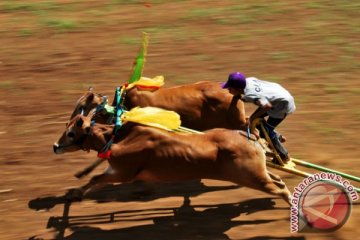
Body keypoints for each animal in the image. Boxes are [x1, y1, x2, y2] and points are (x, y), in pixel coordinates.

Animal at [53, 114, 292, 204]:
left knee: (280, 190)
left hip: (253, 177)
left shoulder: (123, 173)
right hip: (259, 173)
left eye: (72, 133)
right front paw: (74, 193)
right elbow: (93, 179)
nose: (55, 146)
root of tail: (251, 136)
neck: (120, 137)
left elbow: (97, 179)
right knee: (280, 182)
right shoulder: (114, 170)